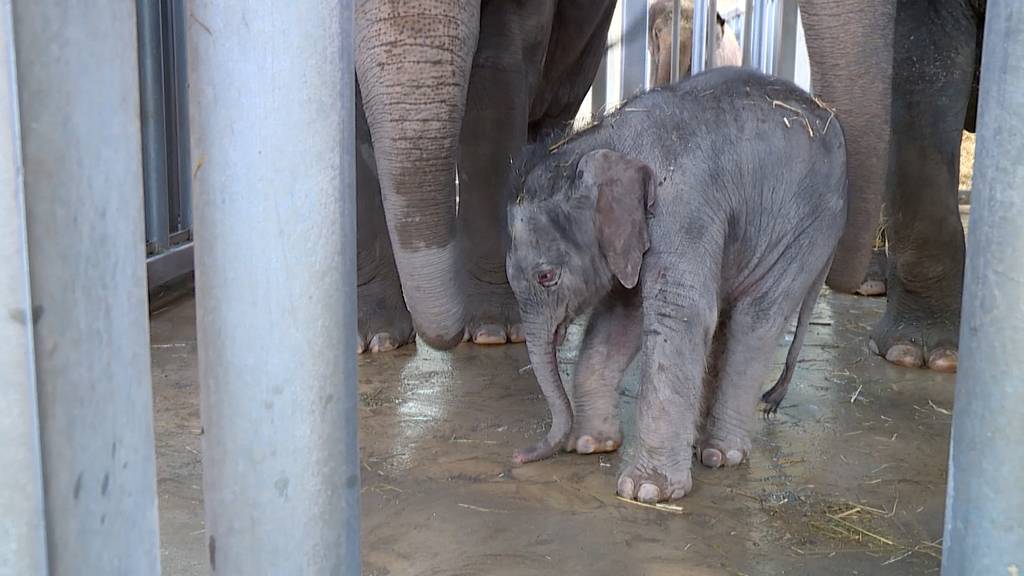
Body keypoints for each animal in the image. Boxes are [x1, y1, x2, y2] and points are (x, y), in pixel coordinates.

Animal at [505, 66, 847, 498]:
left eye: (546, 276)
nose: (520, 456)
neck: (608, 142)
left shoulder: (683, 207)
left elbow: (676, 314)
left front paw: (645, 492)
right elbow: (622, 317)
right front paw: (591, 444)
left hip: (807, 229)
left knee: (756, 319)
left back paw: (721, 455)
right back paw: (702, 443)